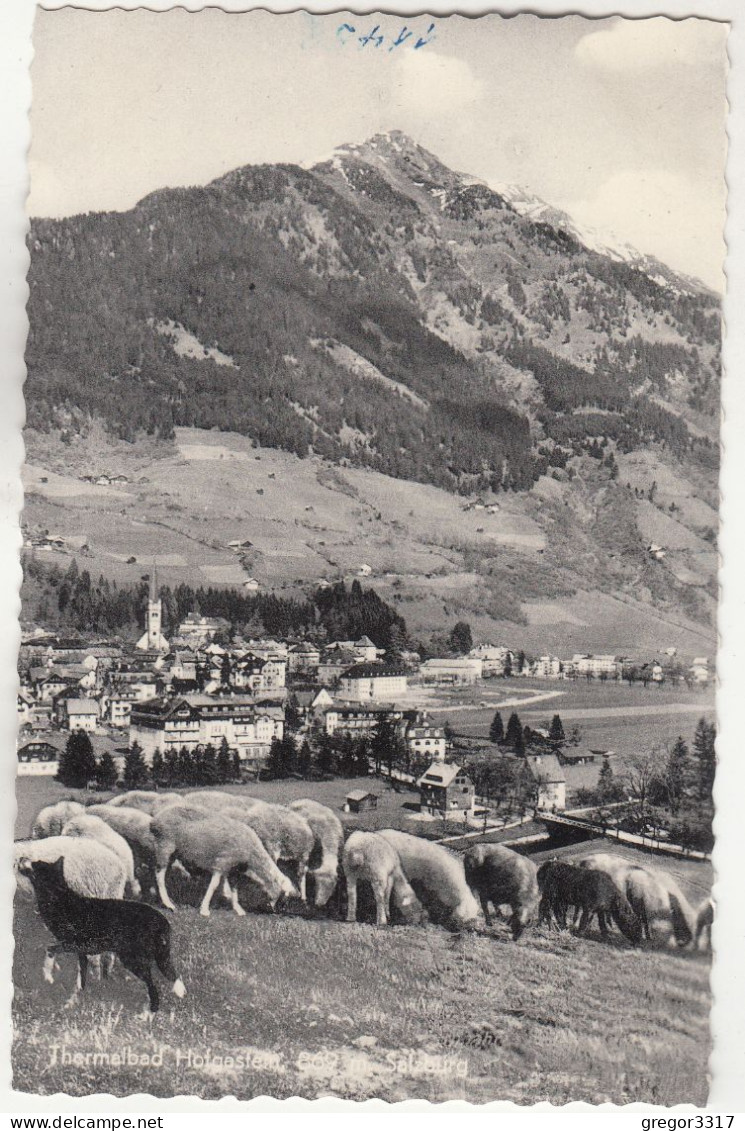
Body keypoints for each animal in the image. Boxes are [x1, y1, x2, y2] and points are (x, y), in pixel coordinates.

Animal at [148, 809, 296, 913]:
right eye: (284, 894)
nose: (277, 911)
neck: (251, 856)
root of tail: (155, 820)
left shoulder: (232, 869)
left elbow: (233, 889)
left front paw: (237, 908)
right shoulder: (221, 863)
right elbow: (214, 886)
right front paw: (204, 909)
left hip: (172, 852)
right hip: (165, 846)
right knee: (159, 875)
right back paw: (168, 904)